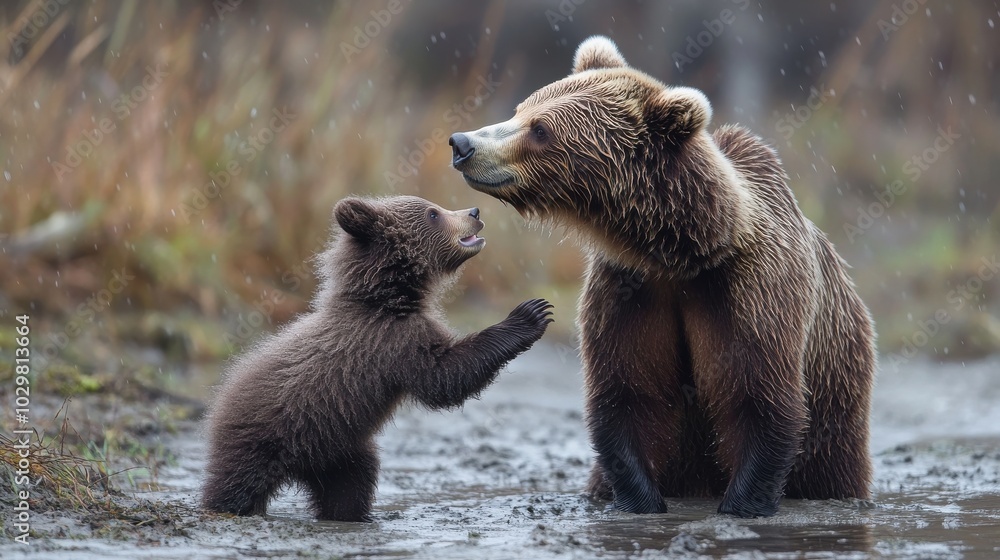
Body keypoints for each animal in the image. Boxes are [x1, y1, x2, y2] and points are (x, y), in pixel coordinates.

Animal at [202, 195, 554, 521]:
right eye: (433, 213)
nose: (475, 212)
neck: (386, 300)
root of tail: (221, 399)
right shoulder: (392, 341)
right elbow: (445, 377)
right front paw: (530, 314)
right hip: (267, 435)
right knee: (238, 483)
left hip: (340, 449)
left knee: (350, 487)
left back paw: (353, 515)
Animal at [448, 36, 875, 518]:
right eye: (522, 108)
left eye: (540, 129)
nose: (462, 143)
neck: (678, 253)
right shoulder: (630, 290)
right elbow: (629, 394)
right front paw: (642, 501)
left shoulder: (750, 288)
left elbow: (759, 396)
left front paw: (741, 504)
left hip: (835, 429)